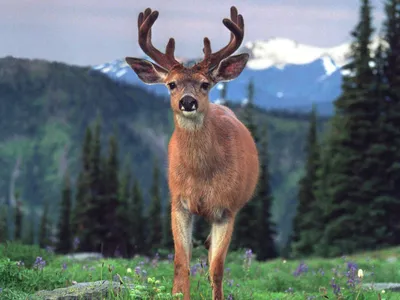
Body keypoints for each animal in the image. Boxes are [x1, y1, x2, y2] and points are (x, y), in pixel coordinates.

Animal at [126, 5, 260, 300]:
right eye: (171, 84)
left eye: (205, 84)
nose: (188, 102)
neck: (201, 175)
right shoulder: (178, 203)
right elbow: (181, 263)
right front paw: (179, 294)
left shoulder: (227, 210)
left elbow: (217, 269)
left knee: (210, 253)